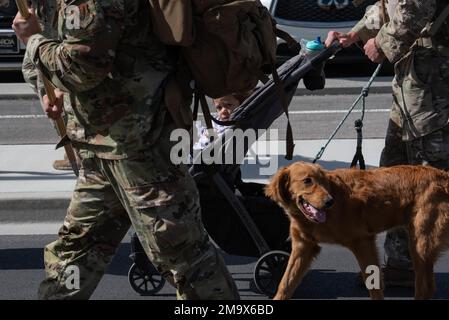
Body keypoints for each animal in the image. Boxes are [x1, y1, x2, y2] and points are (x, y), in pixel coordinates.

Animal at [264, 162, 448, 300]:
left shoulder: (362, 241)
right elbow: (285, 283)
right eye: (307, 180)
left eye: (323, 181)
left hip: (421, 244)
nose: (329, 201)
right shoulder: (303, 246)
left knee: (425, 288)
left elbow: (373, 285)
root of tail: (443, 176)